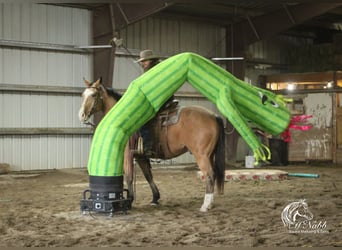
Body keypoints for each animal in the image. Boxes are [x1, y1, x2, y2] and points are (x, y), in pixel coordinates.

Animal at [79, 77, 226, 211]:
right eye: (83, 95)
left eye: (93, 95)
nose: (81, 115)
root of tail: (213, 115)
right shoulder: (140, 156)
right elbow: (148, 175)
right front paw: (155, 198)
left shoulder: (128, 154)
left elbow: (129, 177)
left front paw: (130, 200)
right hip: (209, 155)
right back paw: (210, 203)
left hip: (201, 155)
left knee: (209, 175)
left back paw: (205, 205)